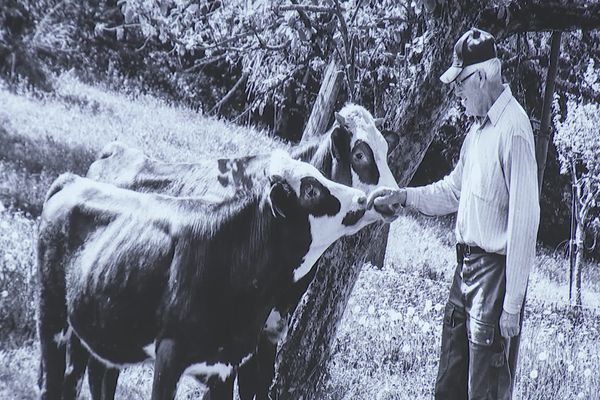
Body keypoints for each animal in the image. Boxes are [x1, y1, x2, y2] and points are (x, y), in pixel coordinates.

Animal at [35, 151, 380, 400]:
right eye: (310, 189)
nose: (363, 199)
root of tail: (72, 180)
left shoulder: (226, 367)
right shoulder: (169, 358)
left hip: (94, 327)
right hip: (51, 316)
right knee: (53, 383)